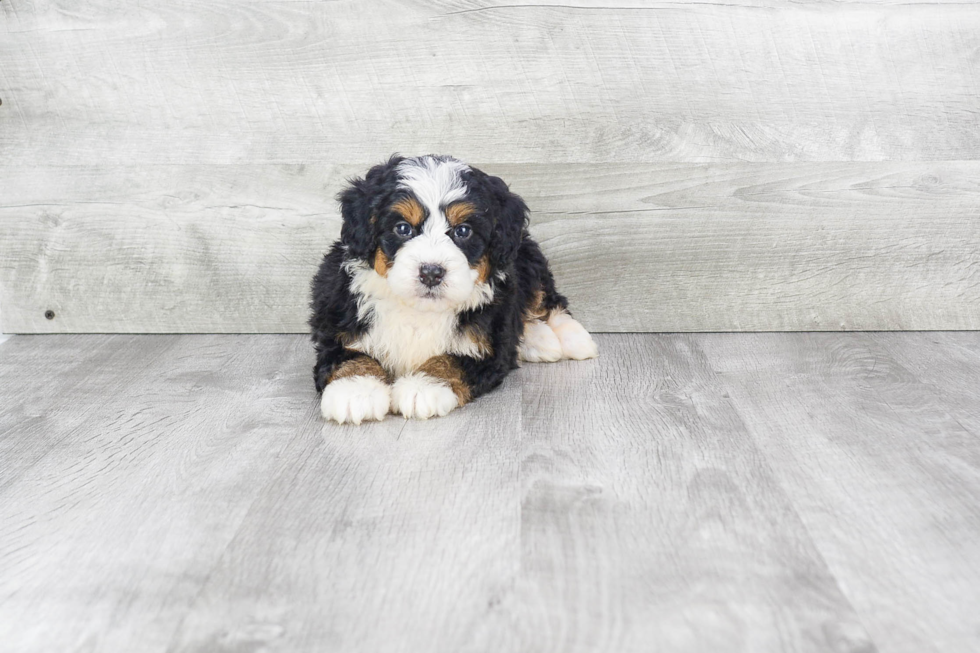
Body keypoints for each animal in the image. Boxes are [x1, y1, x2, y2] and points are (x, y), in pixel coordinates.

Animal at [310, 156, 596, 426]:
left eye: (463, 231)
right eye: (402, 228)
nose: (431, 272)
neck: (420, 310)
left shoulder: (488, 347)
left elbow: (451, 361)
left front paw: (423, 387)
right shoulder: (338, 323)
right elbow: (349, 356)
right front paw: (355, 391)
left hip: (527, 258)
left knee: (545, 299)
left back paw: (569, 339)